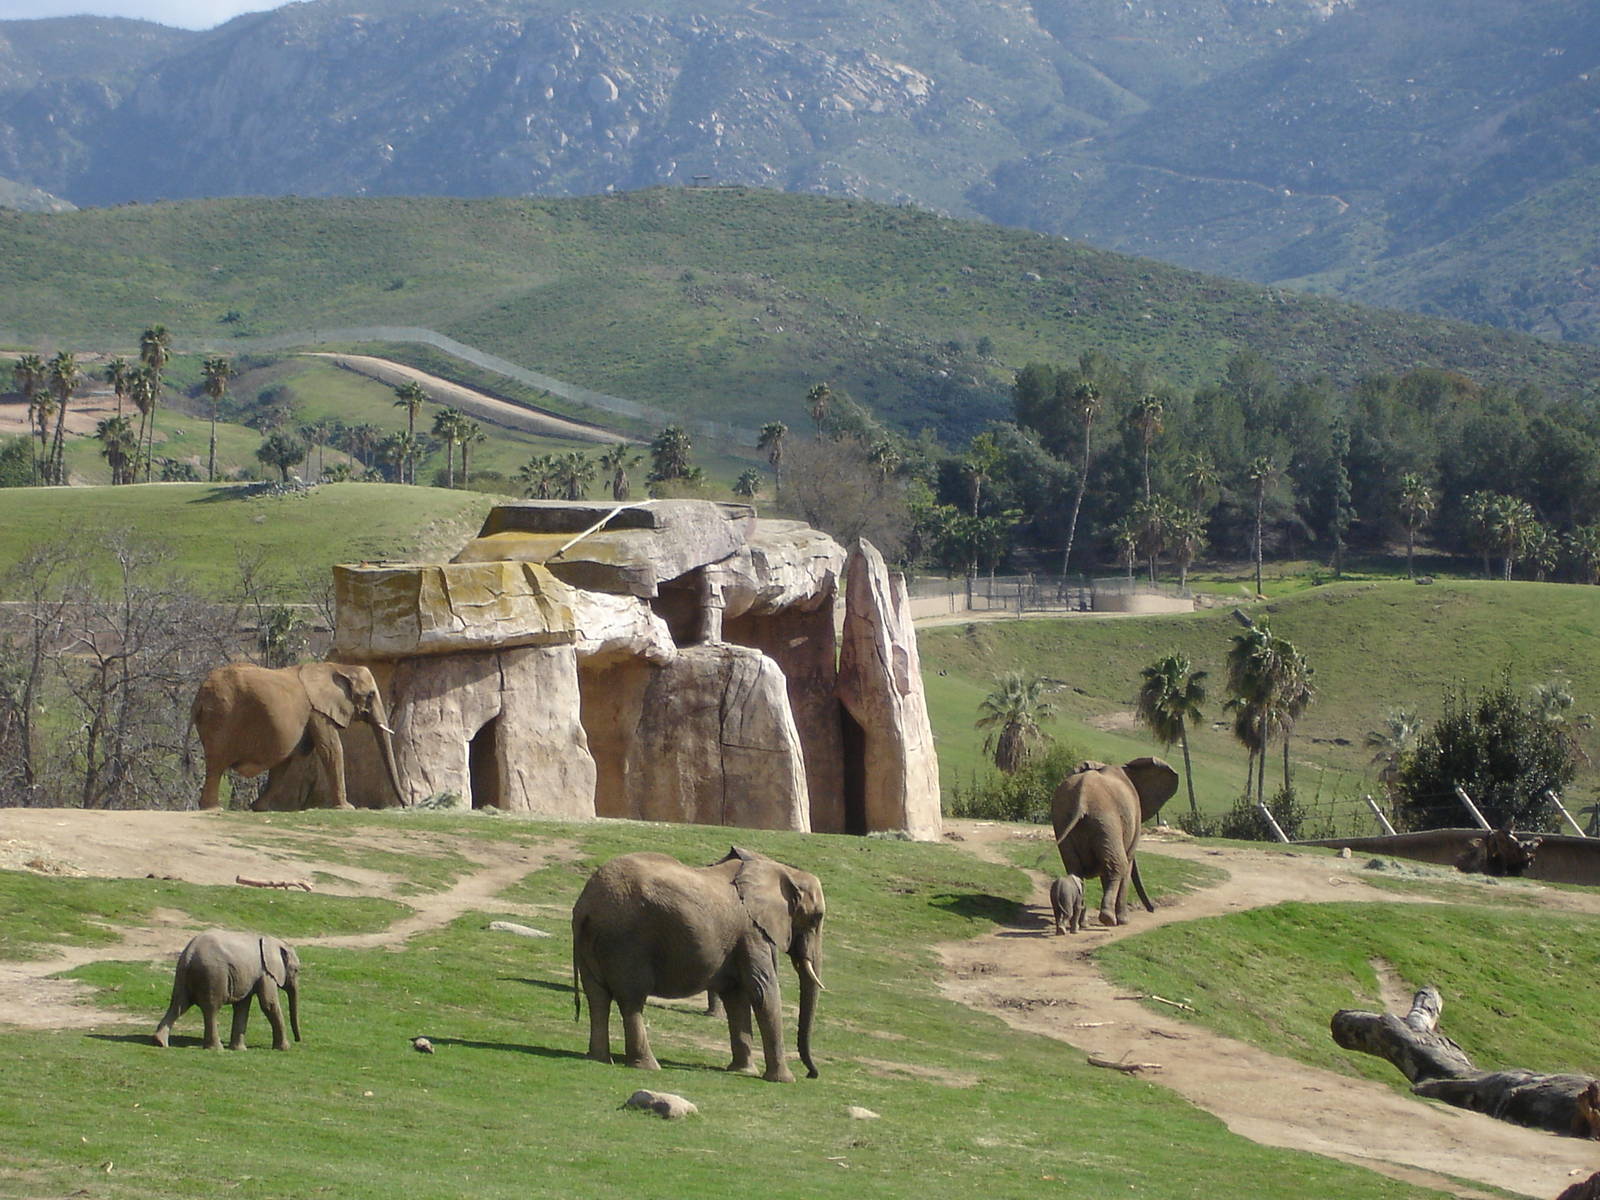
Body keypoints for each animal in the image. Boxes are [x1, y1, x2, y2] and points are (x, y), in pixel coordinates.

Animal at [153, 931, 302, 1050]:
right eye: (296, 970)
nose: (298, 1040)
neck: (272, 940)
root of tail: (190, 953)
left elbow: (242, 1007)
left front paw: (239, 1050)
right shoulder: (265, 972)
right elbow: (269, 1004)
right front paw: (285, 1049)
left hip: (183, 975)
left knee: (179, 1004)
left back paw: (160, 1042)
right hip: (213, 974)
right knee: (211, 1009)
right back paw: (216, 1048)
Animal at [190, 661, 405, 811]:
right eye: (370, 695)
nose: (405, 805)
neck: (338, 667)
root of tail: (200, 695)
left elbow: (284, 762)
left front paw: (261, 809)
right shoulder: (318, 712)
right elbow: (331, 749)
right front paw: (347, 808)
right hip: (221, 715)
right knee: (217, 763)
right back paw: (213, 809)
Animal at [571, 846, 826, 1083]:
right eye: (817, 917)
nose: (812, 1074)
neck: (783, 870)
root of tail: (586, 905)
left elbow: (737, 996)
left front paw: (742, 1071)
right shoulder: (752, 932)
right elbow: (762, 991)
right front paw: (784, 1080)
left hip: (594, 941)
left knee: (597, 997)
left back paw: (599, 1058)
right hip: (627, 941)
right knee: (631, 1000)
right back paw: (647, 1066)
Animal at [1052, 757, 1179, 927]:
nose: (1152, 910)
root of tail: (1082, 797)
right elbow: (1127, 864)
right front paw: (1124, 921)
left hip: (1063, 819)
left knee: (1075, 868)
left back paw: (1083, 924)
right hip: (1107, 819)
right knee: (1118, 865)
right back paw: (1108, 919)